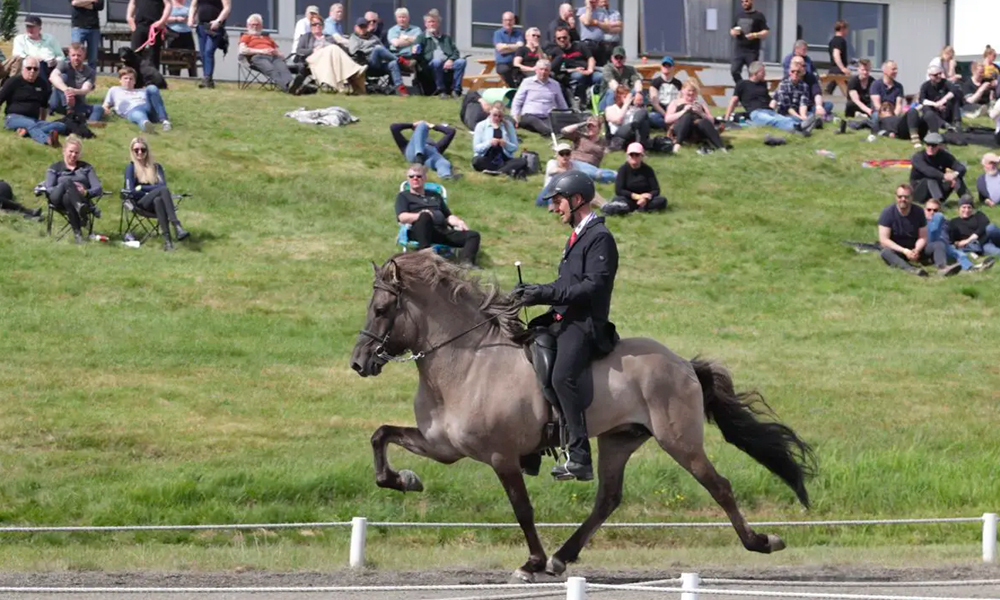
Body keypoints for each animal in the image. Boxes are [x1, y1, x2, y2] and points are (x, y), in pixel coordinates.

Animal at [348, 252, 816, 580]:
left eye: (382, 309)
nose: (358, 363)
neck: (467, 361)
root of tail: (682, 362)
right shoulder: (442, 446)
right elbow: (380, 435)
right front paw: (404, 480)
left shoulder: (501, 456)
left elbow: (522, 509)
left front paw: (531, 562)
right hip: (619, 439)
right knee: (608, 497)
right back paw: (562, 557)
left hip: (679, 440)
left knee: (719, 486)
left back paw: (761, 541)